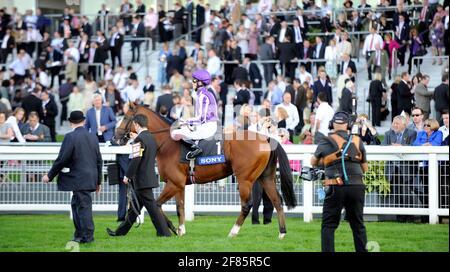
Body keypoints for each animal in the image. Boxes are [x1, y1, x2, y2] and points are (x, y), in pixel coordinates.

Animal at [113, 103, 296, 239]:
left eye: (126, 117)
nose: (115, 137)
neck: (167, 144)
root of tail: (266, 138)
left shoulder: (173, 183)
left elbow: (157, 204)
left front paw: (171, 227)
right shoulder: (179, 184)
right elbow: (180, 207)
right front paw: (180, 230)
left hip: (245, 179)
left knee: (247, 205)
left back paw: (233, 232)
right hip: (266, 177)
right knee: (277, 200)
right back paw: (282, 232)